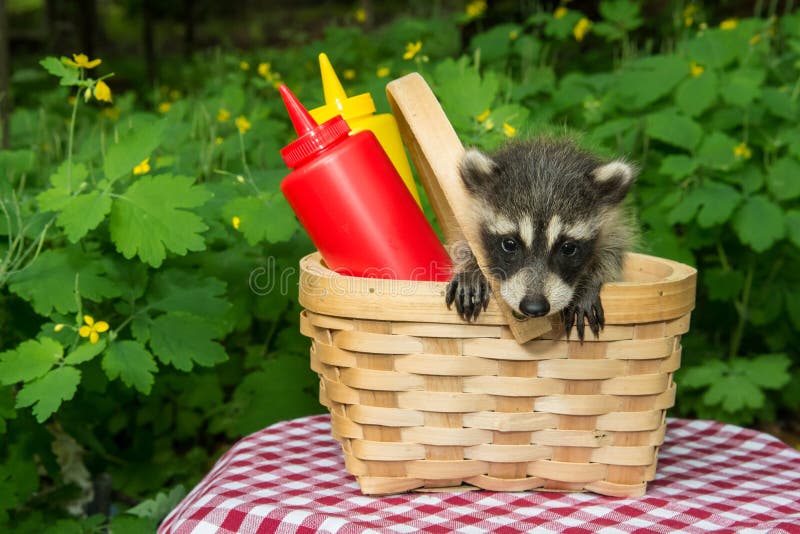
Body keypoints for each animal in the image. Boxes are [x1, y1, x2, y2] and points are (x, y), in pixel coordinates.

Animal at [444, 136, 636, 342]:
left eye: (568, 248)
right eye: (509, 244)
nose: (534, 307)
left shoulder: (614, 230)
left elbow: (611, 255)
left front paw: (589, 283)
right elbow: (464, 245)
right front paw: (472, 267)